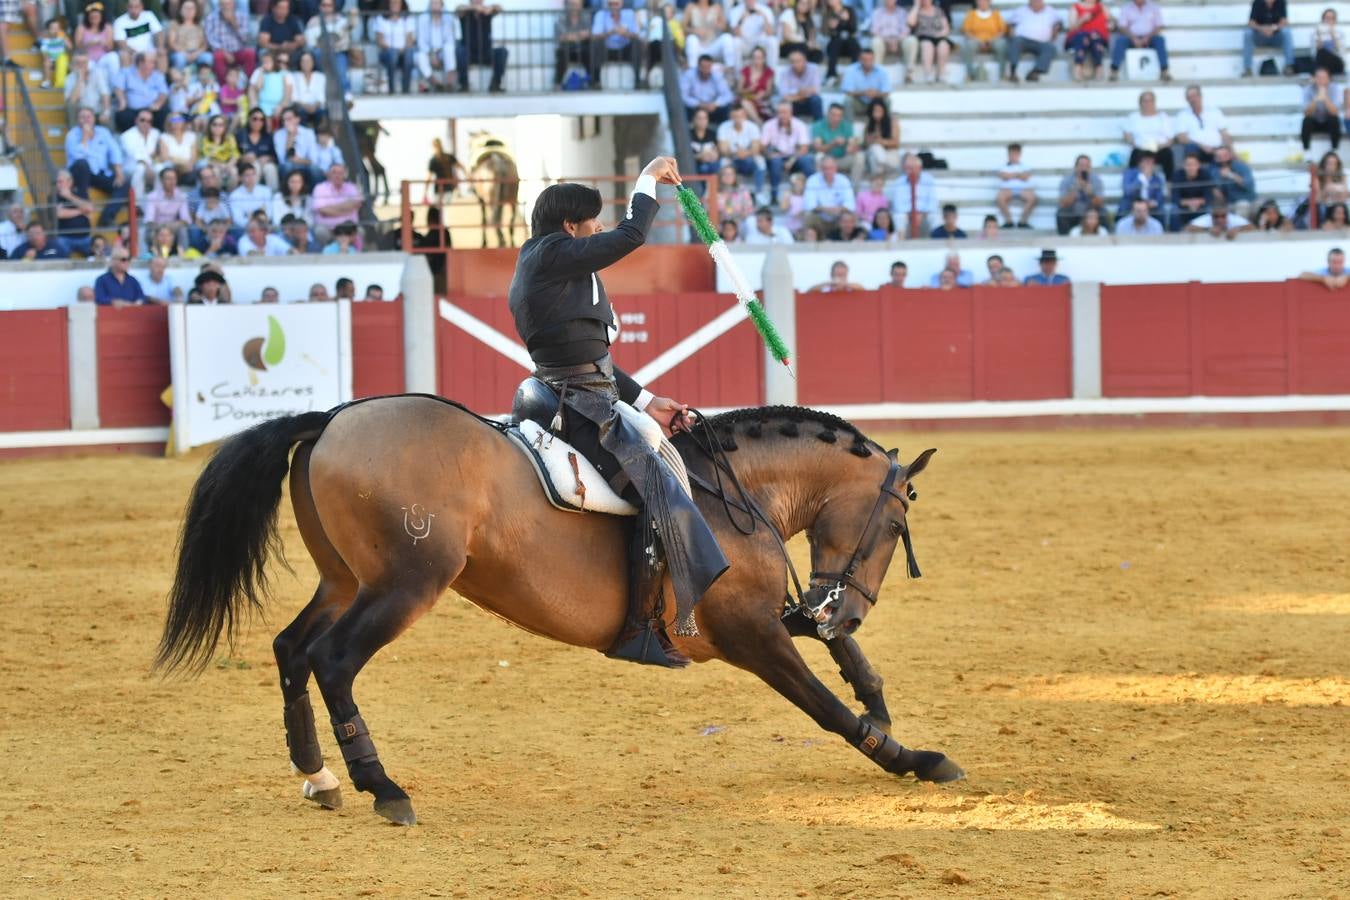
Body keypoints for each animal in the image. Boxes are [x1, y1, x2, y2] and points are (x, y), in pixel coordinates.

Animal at [155, 396, 961, 825]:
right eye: (897, 525)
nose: (848, 610)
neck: (729, 492)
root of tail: (331, 419)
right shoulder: (747, 631)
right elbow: (823, 706)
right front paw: (910, 756)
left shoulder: (762, 618)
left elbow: (839, 662)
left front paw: (877, 699)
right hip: (402, 586)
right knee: (332, 661)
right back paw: (380, 787)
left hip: (344, 582)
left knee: (291, 650)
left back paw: (319, 776)